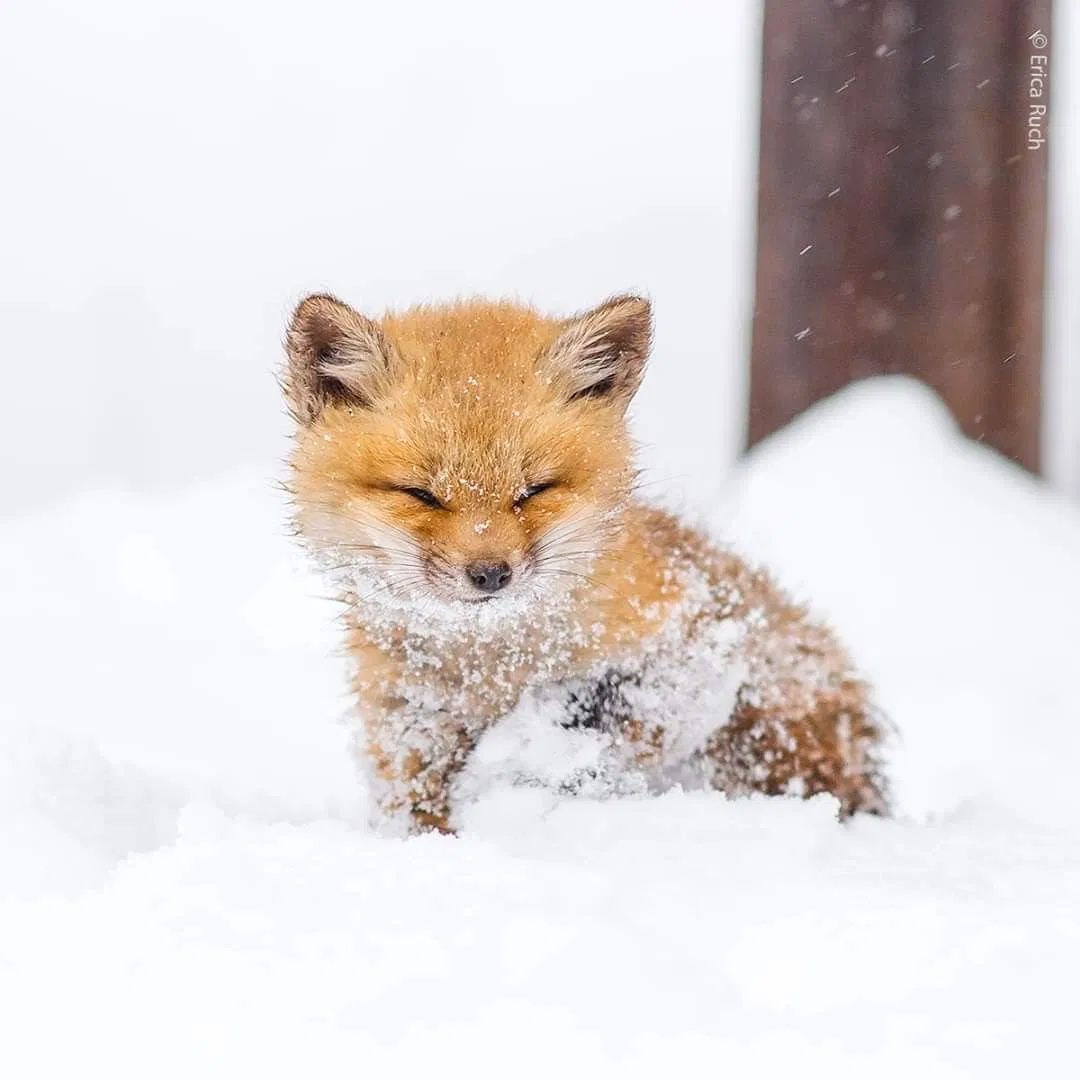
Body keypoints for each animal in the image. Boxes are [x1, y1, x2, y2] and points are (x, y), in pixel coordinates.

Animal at [282, 292, 889, 834]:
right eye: (420, 494)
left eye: (534, 490)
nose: (490, 574)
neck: (493, 672)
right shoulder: (408, 726)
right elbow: (421, 811)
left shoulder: (698, 648)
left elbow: (604, 726)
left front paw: (530, 771)